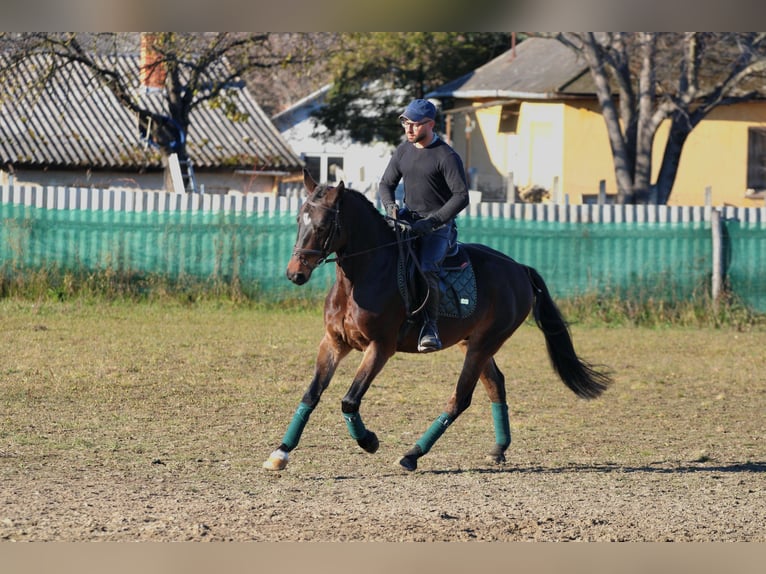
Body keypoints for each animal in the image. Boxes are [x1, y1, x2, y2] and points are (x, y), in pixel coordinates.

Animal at [264, 170, 612, 472]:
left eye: (323, 225)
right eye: (298, 219)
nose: (295, 274)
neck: (361, 278)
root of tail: (519, 269)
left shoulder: (380, 347)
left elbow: (350, 400)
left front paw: (369, 441)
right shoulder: (334, 343)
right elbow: (310, 395)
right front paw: (281, 453)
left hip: (484, 343)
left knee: (461, 398)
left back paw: (412, 455)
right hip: (471, 343)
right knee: (495, 385)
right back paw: (498, 449)